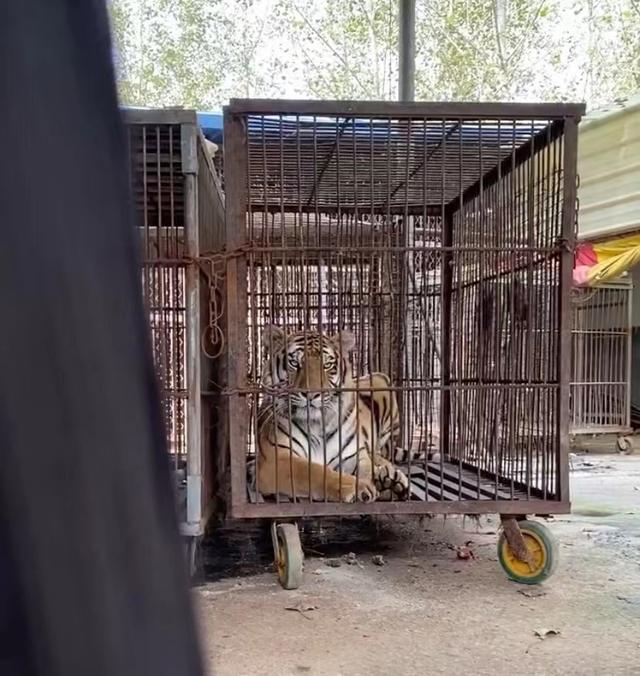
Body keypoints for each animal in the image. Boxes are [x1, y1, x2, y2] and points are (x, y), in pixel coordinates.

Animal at [255, 325, 411, 503]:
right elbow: (316, 472)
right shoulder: (275, 459)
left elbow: (365, 466)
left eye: (327, 365)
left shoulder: (351, 455)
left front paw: (386, 485)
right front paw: (358, 486)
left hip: (381, 381)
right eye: (294, 363)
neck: (316, 424)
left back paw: (389, 476)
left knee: (379, 454)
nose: (311, 394)